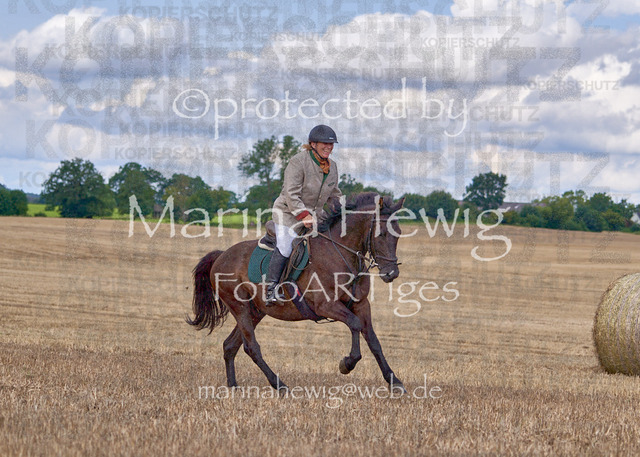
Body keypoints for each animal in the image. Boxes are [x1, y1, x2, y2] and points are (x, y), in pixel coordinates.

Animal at [187, 192, 406, 393]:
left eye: (398, 233)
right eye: (381, 234)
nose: (391, 273)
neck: (341, 254)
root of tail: (221, 255)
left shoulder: (361, 304)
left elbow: (373, 340)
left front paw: (394, 381)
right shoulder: (326, 306)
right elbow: (354, 324)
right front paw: (347, 363)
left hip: (255, 311)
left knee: (230, 345)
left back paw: (233, 386)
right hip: (239, 307)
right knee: (251, 347)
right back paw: (280, 385)